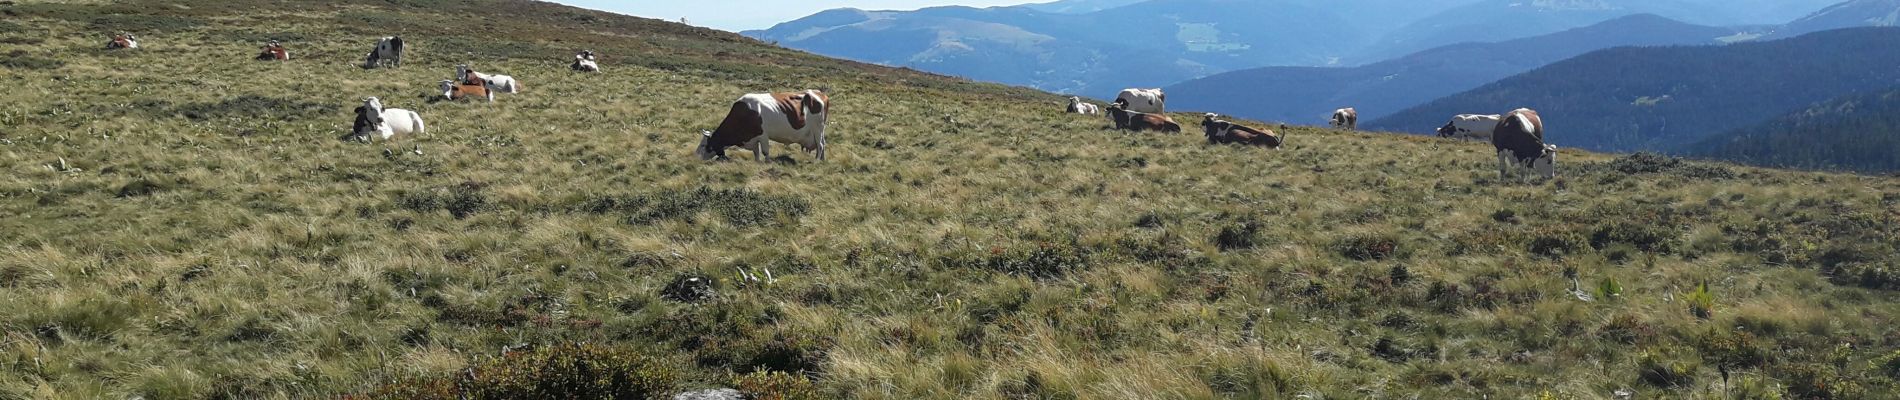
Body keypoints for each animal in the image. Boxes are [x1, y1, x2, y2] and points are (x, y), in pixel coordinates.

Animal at [691, 89, 824, 161]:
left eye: (703, 145)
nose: (695, 156)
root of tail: (818, 93)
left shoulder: (763, 135)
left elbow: (765, 152)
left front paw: (768, 163)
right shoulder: (753, 138)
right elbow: (756, 153)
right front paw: (758, 162)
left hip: (818, 129)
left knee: (821, 145)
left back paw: (816, 161)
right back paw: (822, 160)